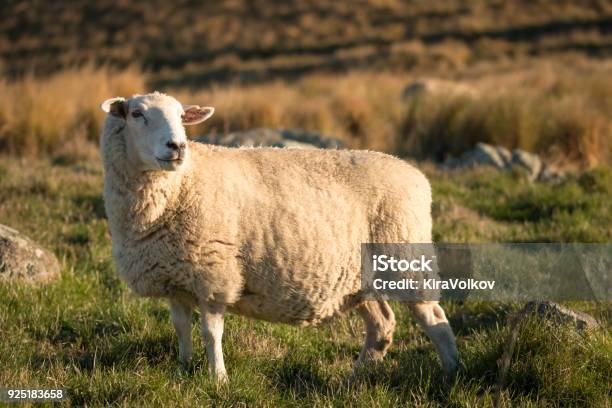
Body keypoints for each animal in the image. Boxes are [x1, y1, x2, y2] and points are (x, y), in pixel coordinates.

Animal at [98, 91, 456, 382]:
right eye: (137, 114)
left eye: (181, 116)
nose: (177, 146)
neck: (182, 184)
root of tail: (416, 175)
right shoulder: (176, 277)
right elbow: (181, 328)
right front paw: (183, 369)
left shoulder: (214, 274)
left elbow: (211, 333)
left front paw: (218, 379)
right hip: (360, 278)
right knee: (382, 324)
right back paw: (357, 376)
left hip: (406, 257)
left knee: (433, 318)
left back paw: (451, 373)